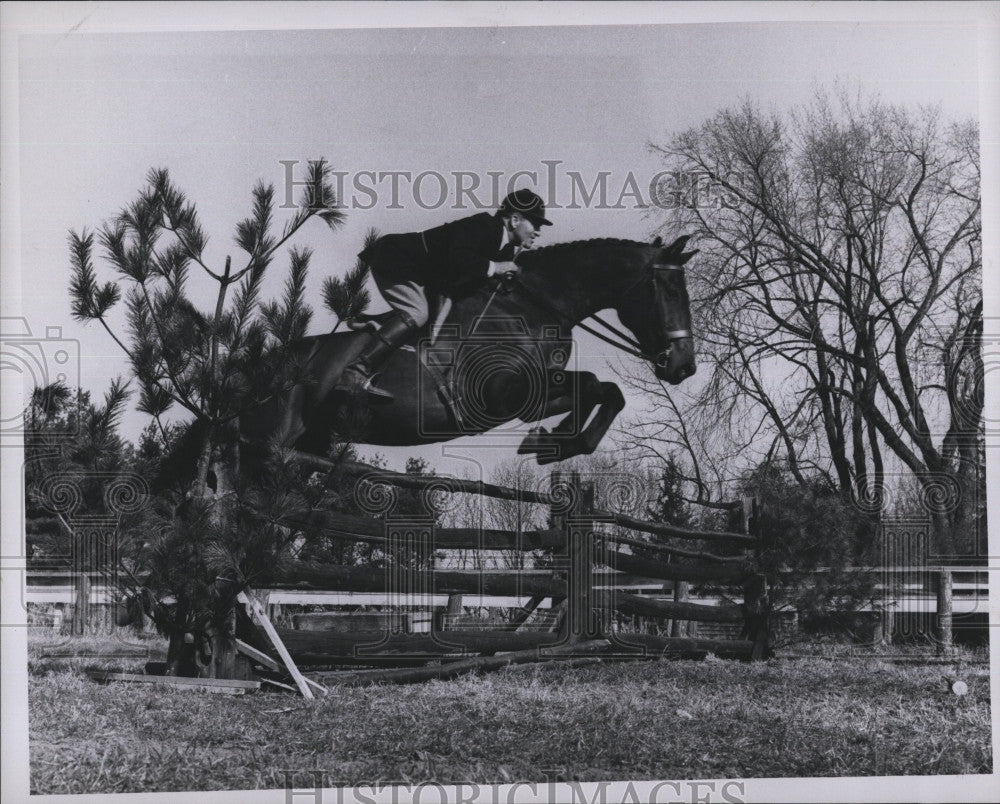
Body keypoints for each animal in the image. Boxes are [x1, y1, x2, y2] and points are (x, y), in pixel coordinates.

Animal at [239, 234, 700, 464]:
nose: (684, 367)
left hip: (309, 445)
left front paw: (553, 443)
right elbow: (592, 383)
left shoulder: (527, 400)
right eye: (671, 290)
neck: (533, 307)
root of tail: (257, 364)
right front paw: (554, 443)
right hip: (270, 440)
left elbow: (604, 390)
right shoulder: (502, 392)